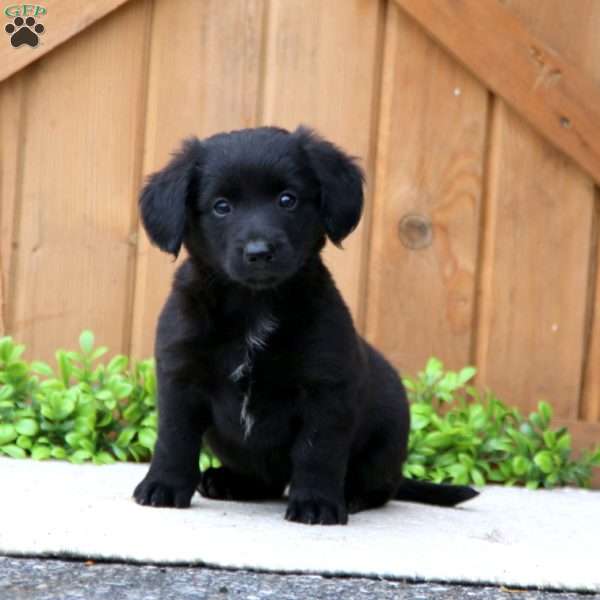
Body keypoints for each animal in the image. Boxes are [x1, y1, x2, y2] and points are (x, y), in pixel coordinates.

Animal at [132, 126, 478, 524]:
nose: (259, 252)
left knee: (380, 488)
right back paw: (228, 481)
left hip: (385, 441)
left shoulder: (325, 391)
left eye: (287, 200)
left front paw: (316, 502)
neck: (254, 307)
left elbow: (318, 452)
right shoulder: (179, 378)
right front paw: (164, 485)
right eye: (221, 206)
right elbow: (174, 438)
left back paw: (351, 496)